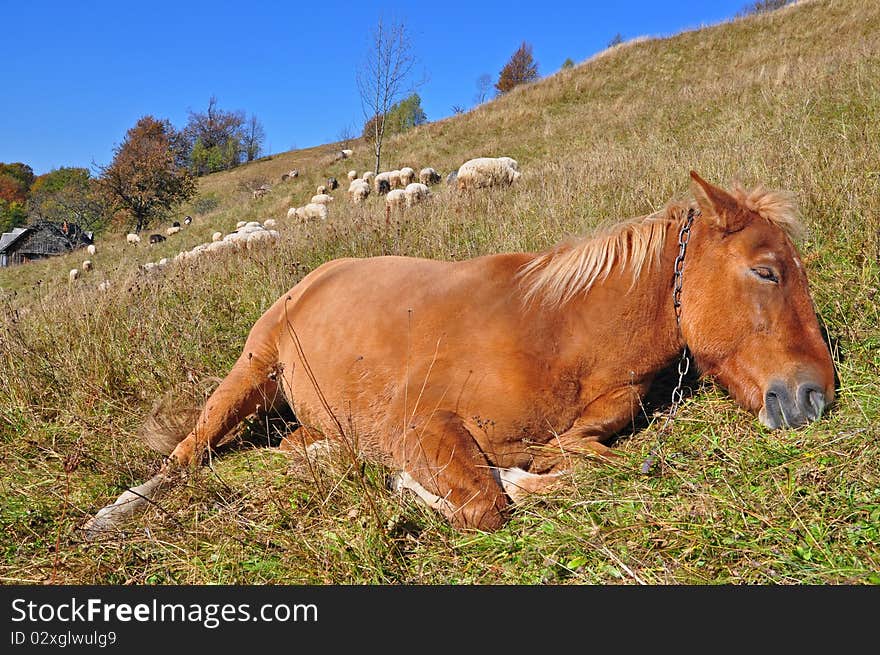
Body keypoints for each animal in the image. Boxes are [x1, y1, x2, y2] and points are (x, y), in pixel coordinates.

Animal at [86, 172, 836, 536]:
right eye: (766, 271)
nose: (815, 396)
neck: (557, 331)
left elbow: (605, 466)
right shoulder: (422, 427)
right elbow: (485, 503)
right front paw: (420, 487)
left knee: (292, 448)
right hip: (251, 368)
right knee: (188, 454)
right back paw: (113, 515)